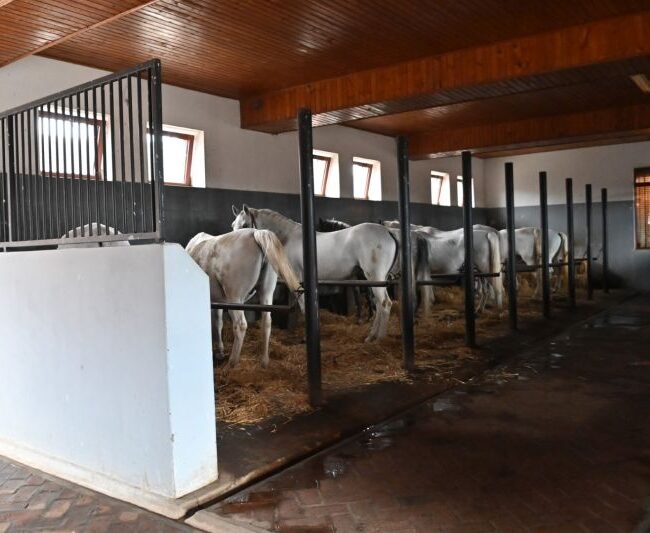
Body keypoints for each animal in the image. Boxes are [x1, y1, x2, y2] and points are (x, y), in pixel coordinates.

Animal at [186, 228, 303, 368]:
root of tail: (255, 232)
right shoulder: (219, 301)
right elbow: (218, 322)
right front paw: (220, 351)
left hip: (235, 297)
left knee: (240, 325)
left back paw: (232, 363)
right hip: (266, 292)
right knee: (266, 322)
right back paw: (264, 361)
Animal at [232, 206, 398, 342]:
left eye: (245, 225)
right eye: (233, 225)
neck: (288, 238)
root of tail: (387, 232)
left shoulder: (297, 281)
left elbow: (303, 308)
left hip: (374, 277)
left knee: (385, 304)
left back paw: (379, 340)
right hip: (376, 280)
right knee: (379, 304)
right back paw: (371, 337)